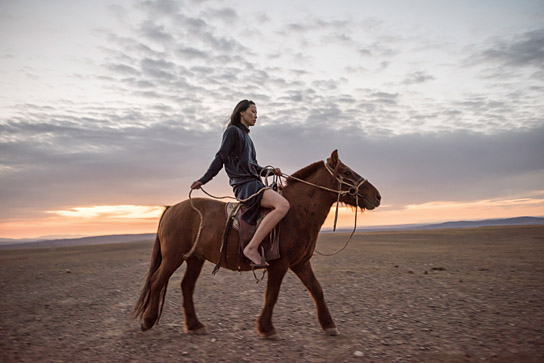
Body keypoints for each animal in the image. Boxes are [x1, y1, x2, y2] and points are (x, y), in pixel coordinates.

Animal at [133, 150, 380, 338]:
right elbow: (272, 295)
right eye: (346, 172)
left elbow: (317, 290)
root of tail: (171, 209)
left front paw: (329, 325)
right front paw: (266, 328)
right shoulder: (280, 264)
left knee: (186, 286)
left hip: (194, 259)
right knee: (156, 282)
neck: (297, 211)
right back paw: (148, 320)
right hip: (174, 257)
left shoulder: (300, 263)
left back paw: (195, 325)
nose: (377, 196)